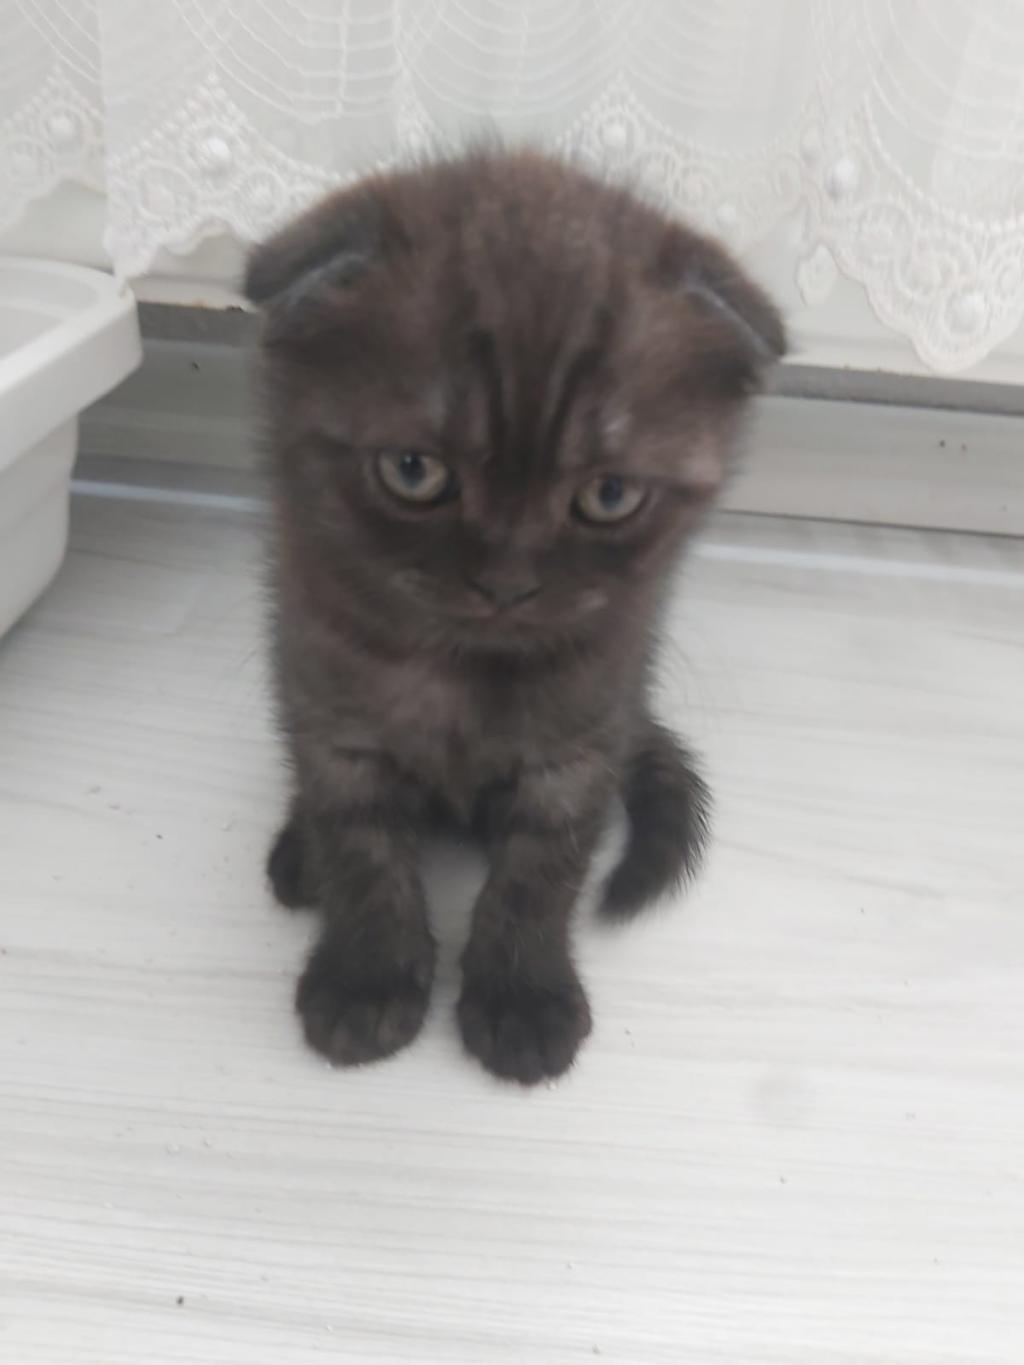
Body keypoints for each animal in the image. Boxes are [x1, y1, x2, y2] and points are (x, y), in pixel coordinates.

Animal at [244, 149, 785, 1084]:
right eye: (415, 470)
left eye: (609, 494)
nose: (506, 582)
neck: (462, 666)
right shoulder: (331, 712)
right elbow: (361, 847)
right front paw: (366, 975)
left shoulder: (580, 742)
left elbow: (541, 870)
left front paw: (522, 996)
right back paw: (298, 854)